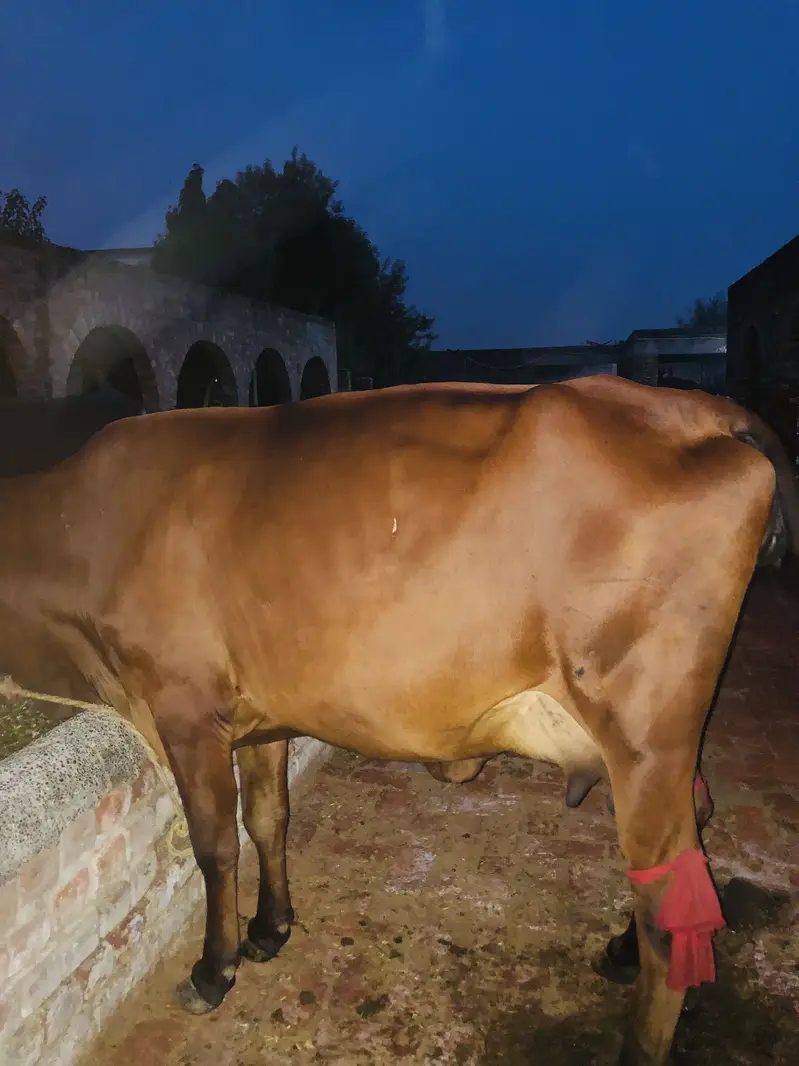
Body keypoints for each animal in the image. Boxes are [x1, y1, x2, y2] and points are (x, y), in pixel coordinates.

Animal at [0, 374, 796, 1065]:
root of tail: (692, 407)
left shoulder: (185, 706)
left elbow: (215, 846)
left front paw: (213, 969)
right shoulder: (261, 716)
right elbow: (268, 818)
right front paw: (271, 928)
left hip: (642, 730)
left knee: (667, 902)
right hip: (660, 739)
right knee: (693, 835)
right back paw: (622, 949)